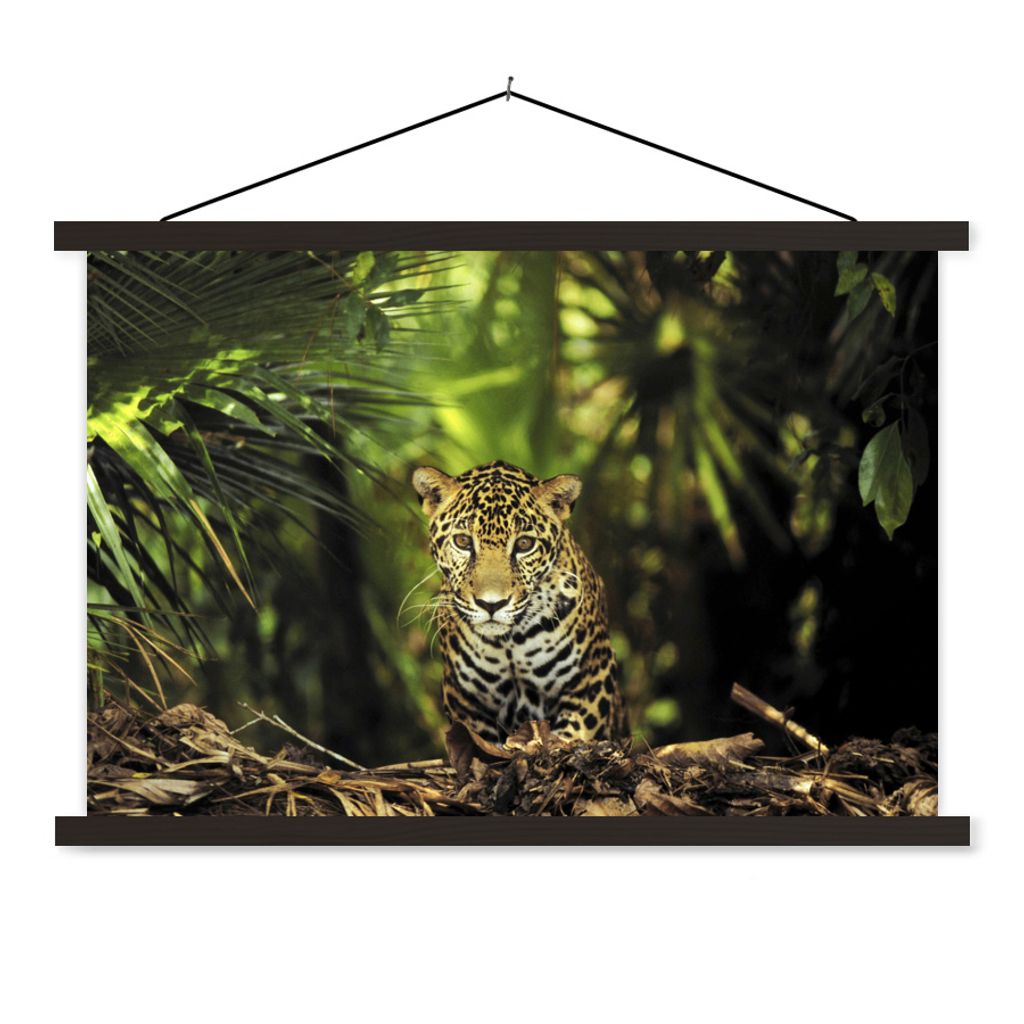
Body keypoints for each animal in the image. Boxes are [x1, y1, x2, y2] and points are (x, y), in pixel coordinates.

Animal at [411, 460, 626, 744]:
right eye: (462, 541)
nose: (491, 604)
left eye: (524, 544)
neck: (510, 643)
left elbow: (574, 735)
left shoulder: (593, 677)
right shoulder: (465, 700)